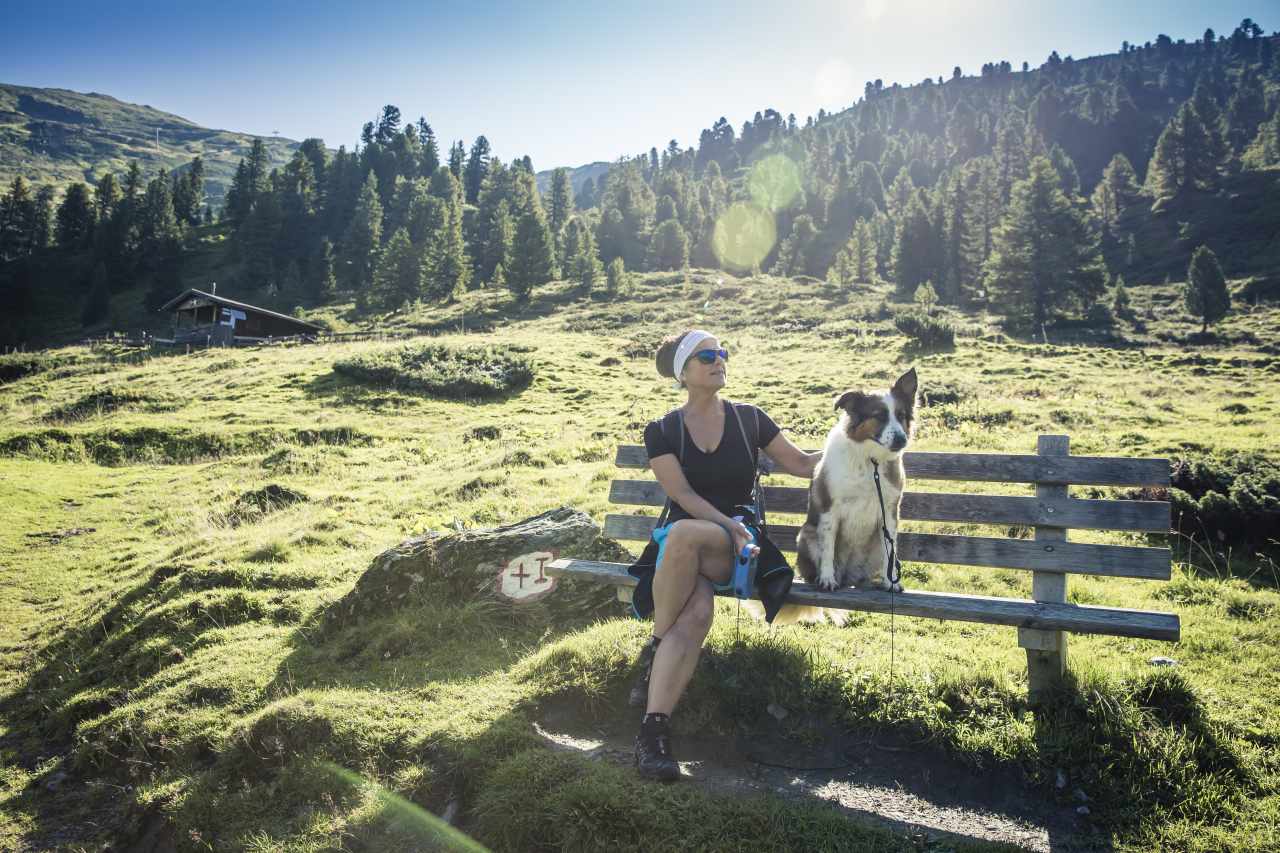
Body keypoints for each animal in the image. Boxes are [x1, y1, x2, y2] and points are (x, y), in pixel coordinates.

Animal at [768, 366, 921, 625]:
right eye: (879, 415)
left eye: (901, 415)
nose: (902, 439)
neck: (871, 461)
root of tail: (849, 576)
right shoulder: (831, 509)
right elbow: (828, 549)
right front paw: (827, 579)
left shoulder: (890, 513)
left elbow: (891, 555)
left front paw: (891, 582)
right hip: (807, 535)